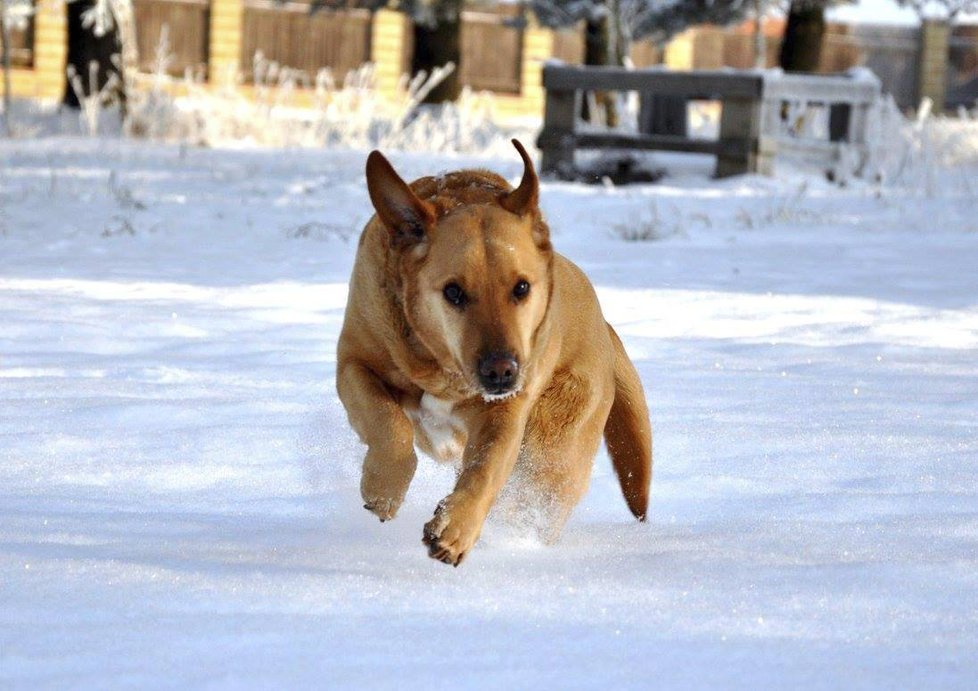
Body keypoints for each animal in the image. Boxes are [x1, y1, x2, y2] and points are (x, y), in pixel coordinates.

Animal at [334, 141, 648, 568]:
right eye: (453, 292)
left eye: (522, 287)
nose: (502, 371)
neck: (441, 369)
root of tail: (605, 326)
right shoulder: (354, 363)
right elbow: (390, 425)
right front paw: (383, 489)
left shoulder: (507, 410)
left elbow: (487, 466)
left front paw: (455, 529)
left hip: (556, 444)